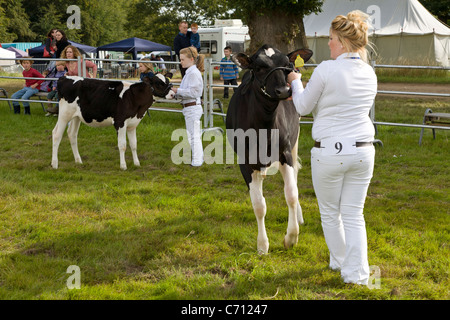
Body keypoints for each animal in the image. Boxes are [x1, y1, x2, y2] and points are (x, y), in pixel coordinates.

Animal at [227, 44, 312, 252]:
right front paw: (262, 245)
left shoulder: (285, 152)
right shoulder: (245, 161)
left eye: (287, 65)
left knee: (295, 178)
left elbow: (291, 194)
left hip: (295, 139)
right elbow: (259, 204)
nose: (283, 90)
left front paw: (291, 237)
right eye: (258, 67)